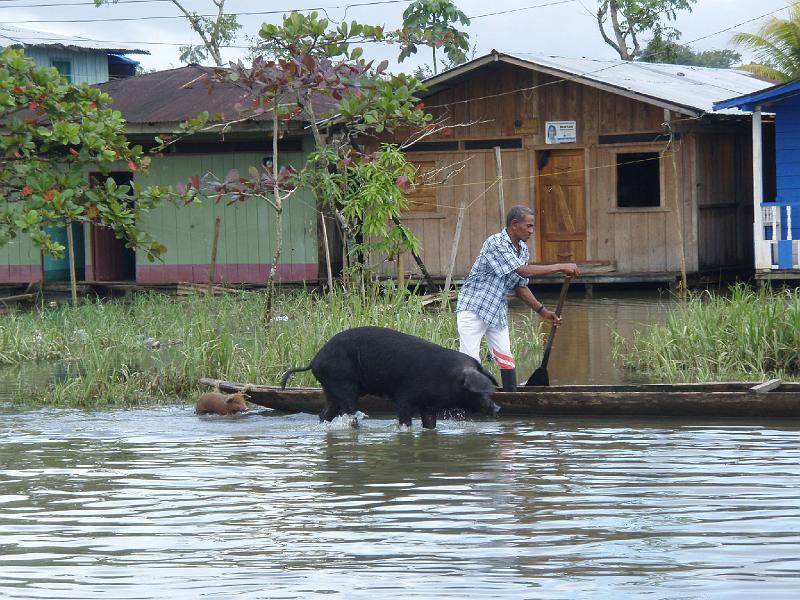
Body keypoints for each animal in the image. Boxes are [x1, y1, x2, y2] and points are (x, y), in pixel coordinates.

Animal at [282, 328, 500, 426]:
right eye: (478, 391)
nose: (497, 408)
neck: (446, 376)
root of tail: (314, 360)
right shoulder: (404, 397)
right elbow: (404, 421)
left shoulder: (428, 406)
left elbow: (430, 424)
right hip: (343, 384)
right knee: (349, 412)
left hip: (329, 388)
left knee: (325, 413)